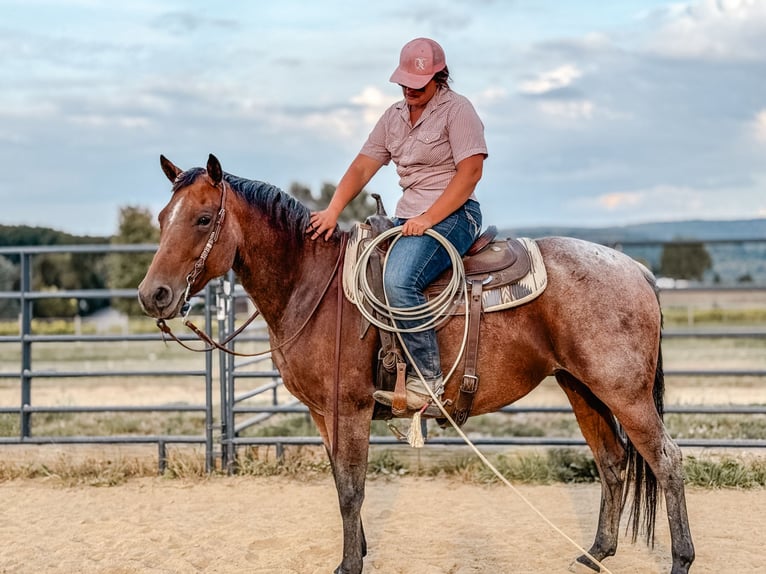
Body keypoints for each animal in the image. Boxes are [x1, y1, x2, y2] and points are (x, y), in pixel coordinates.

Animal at [138, 154, 695, 574]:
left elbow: (351, 488)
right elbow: (340, 481)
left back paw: (680, 560)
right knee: (613, 461)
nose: (153, 295)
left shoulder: (350, 409)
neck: (311, 286)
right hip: (581, 387)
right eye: (163, 218)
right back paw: (595, 553)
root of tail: (636, 269)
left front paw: (349, 565)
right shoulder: (322, 413)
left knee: (665, 458)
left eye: (203, 219)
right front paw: (358, 551)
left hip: (623, 392)